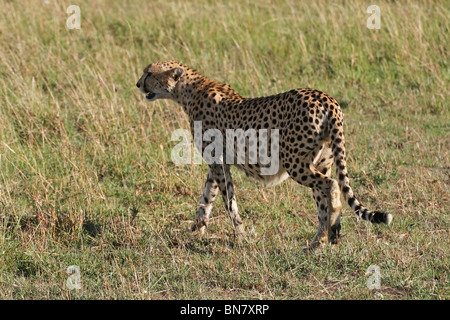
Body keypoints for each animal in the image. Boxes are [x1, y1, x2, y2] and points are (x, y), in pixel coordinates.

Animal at [135, 60, 392, 250]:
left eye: (149, 73)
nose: (138, 84)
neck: (188, 90)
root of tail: (326, 98)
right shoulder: (218, 163)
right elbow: (207, 197)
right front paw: (196, 229)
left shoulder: (218, 162)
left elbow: (228, 201)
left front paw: (240, 235)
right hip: (322, 161)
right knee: (323, 198)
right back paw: (321, 240)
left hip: (295, 163)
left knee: (331, 186)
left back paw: (329, 232)